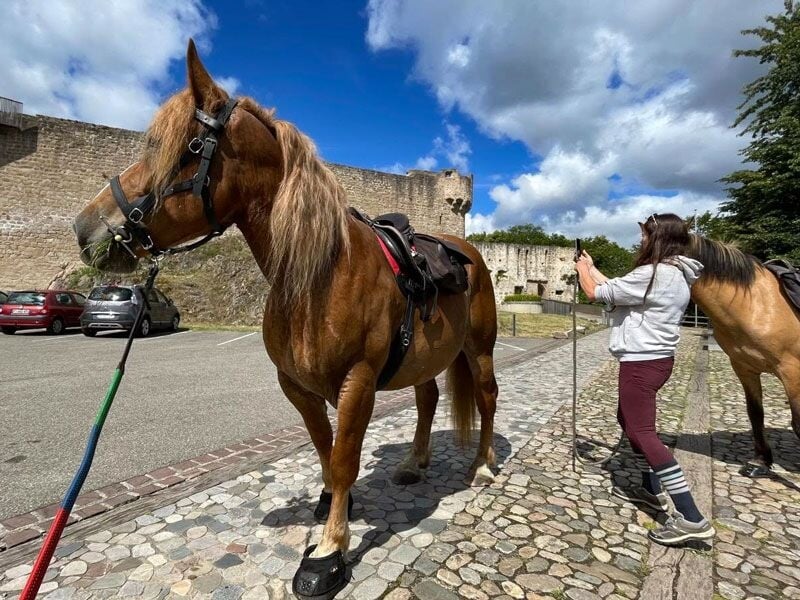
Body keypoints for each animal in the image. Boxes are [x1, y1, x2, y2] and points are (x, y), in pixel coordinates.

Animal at [73, 40, 498, 598]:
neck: (319, 273)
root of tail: (465, 250)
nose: (86, 229)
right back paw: (414, 463)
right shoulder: (296, 385)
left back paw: (483, 466)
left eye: (184, 147)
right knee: (427, 400)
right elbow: (324, 447)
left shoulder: (358, 382)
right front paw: (331, 507)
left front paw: (328, 551)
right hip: (424, 359)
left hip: (480, 350)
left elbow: (344, 458)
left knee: (488, 399)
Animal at [688, 234, 800, 476]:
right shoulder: (744, 367)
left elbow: (798, 422)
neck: (756, 306)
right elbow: (755, 413)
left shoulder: (792, 371)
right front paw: (760, 462)